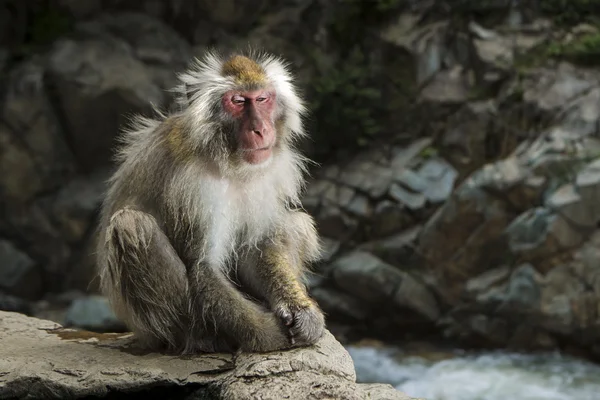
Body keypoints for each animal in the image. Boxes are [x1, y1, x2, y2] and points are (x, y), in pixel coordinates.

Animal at [96, 49, 326, 354]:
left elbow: (256, 248)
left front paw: (301, 310)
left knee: (296, 222)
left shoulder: (267, 176)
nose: (260, 129)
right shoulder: (193, 188)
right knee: (132, 225)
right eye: (238, 101)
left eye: (262, 99)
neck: (227, 160)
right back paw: (200, 338)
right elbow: (204, 268)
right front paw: (269, 335)